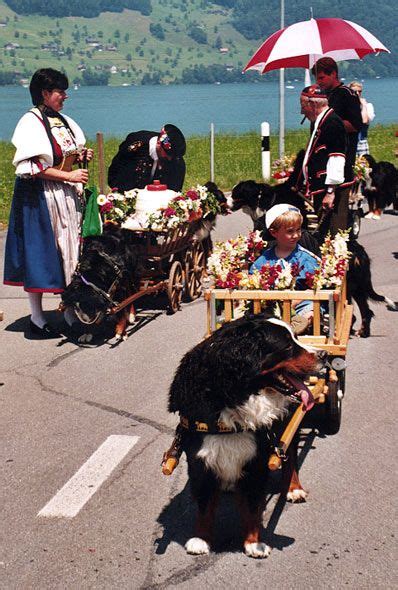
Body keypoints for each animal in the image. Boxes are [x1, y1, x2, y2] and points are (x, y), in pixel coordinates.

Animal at [168, 314, 326, 560]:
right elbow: (204, 505)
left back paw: (294, 489)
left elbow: (252, 507)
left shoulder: (257, 460)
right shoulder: (199, 459)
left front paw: (254, 543)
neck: (232, 397)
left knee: (290, 458)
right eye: (287, 346)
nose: (325, 355)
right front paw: (200, 540)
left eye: (296, 338)